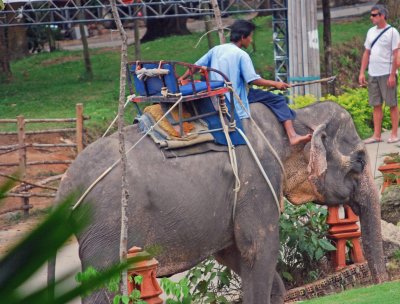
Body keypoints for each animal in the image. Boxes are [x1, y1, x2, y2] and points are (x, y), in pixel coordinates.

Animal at [54, 101, 388, 302]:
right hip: (106, 229)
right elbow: (259, 248)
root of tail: (63, 187)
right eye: (359, 161)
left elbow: (232, 254)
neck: (296, 117)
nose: (379, 282)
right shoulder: (256, 181)